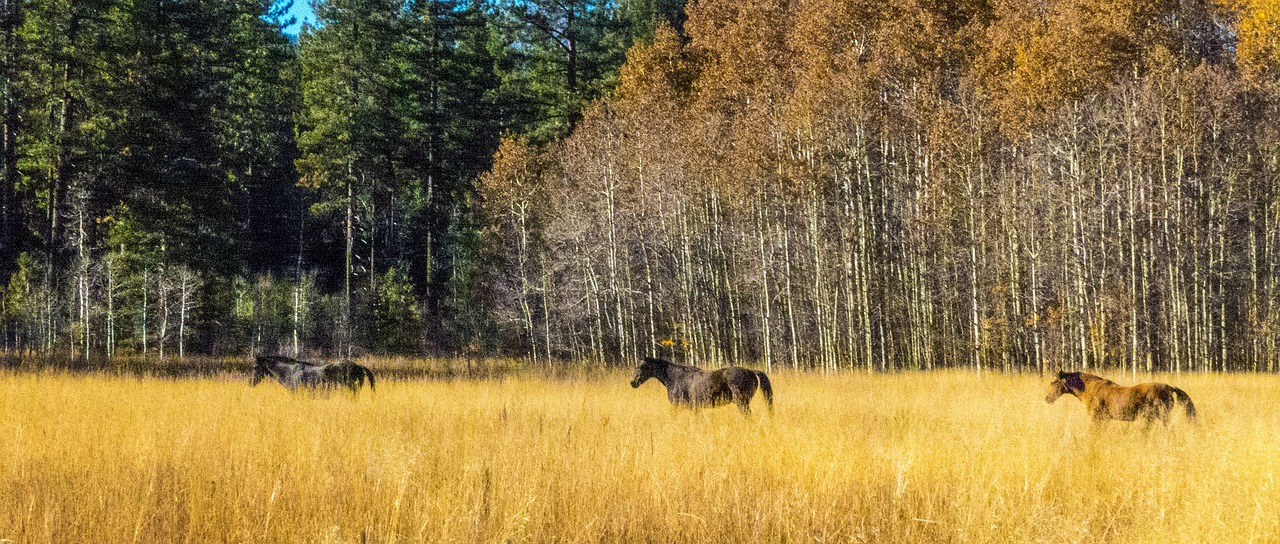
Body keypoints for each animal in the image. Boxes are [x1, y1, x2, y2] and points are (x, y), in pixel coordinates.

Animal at [629, 355, 768, 412]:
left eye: (641, 367)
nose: (632, 383)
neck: (675, 378)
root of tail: (751, 372)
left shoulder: (677, 406)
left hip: (742, 402)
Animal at [1044, 368, 1192, 424]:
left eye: (1053, 383)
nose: (1047, 398)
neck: (1089, 389)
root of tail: (1168, 387)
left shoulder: (1097, 418)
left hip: (1158, 415)